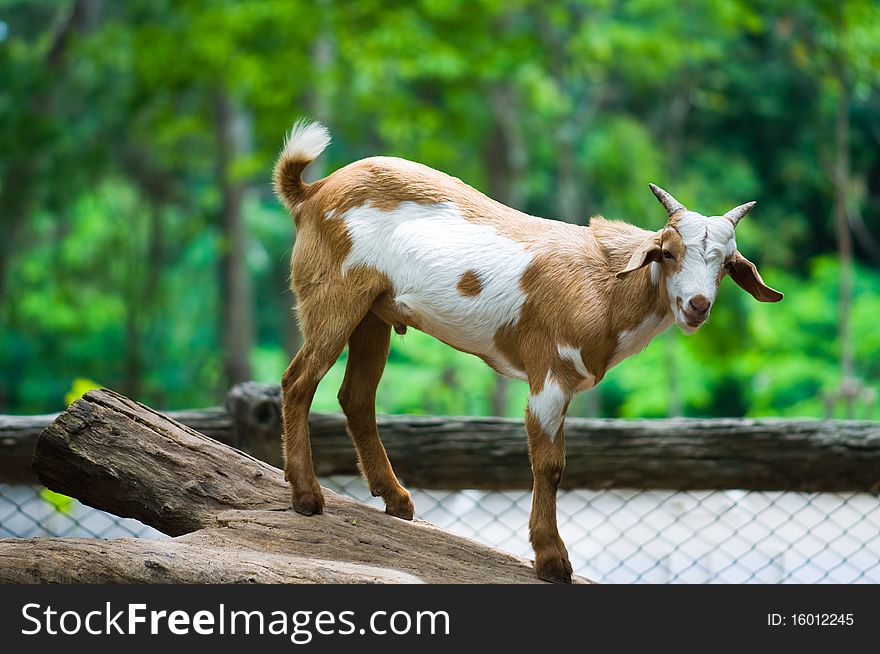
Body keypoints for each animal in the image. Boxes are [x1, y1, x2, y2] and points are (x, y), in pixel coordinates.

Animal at [270, 119, 784, 584]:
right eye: (670, 252)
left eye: (726, 264)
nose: (697, 305)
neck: (605, 287)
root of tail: (312, 192)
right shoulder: (550, 375)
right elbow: (550, 466)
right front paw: (552, 561)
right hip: (333, 297)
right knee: (298, 381)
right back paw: (307, 497)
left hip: (373, 314)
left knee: (356, 397)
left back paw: (395, 500)